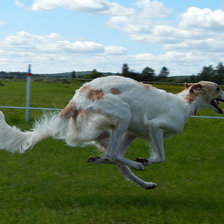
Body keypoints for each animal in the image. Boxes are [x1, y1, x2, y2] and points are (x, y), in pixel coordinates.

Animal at [0, 75, 224, 189]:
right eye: (218, 88)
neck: (184, 103)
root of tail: (76, 99)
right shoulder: (154, 126)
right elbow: (160, 156)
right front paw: (144, 160)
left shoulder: (132, 133)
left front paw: (140, 161)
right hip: (123, 114)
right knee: (113, 154)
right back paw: (137, 166)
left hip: (114, 129)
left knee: (116, 160)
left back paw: (143, 183)